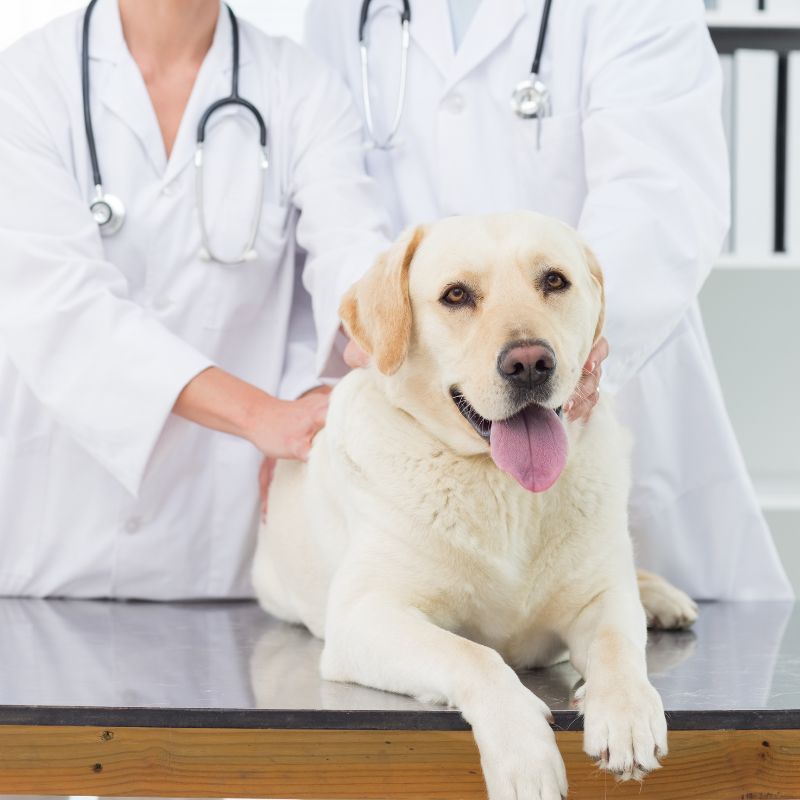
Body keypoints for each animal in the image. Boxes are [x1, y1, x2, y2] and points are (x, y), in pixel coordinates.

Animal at [255, 209, 692, 796]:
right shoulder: (364, 616)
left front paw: (625, 714)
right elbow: (475, 654)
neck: (504, 487)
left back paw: (662, 598)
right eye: (456, 295)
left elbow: (618, 646)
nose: (530, 362)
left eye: (554, 280)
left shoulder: (602, 599)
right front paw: (524, 755)